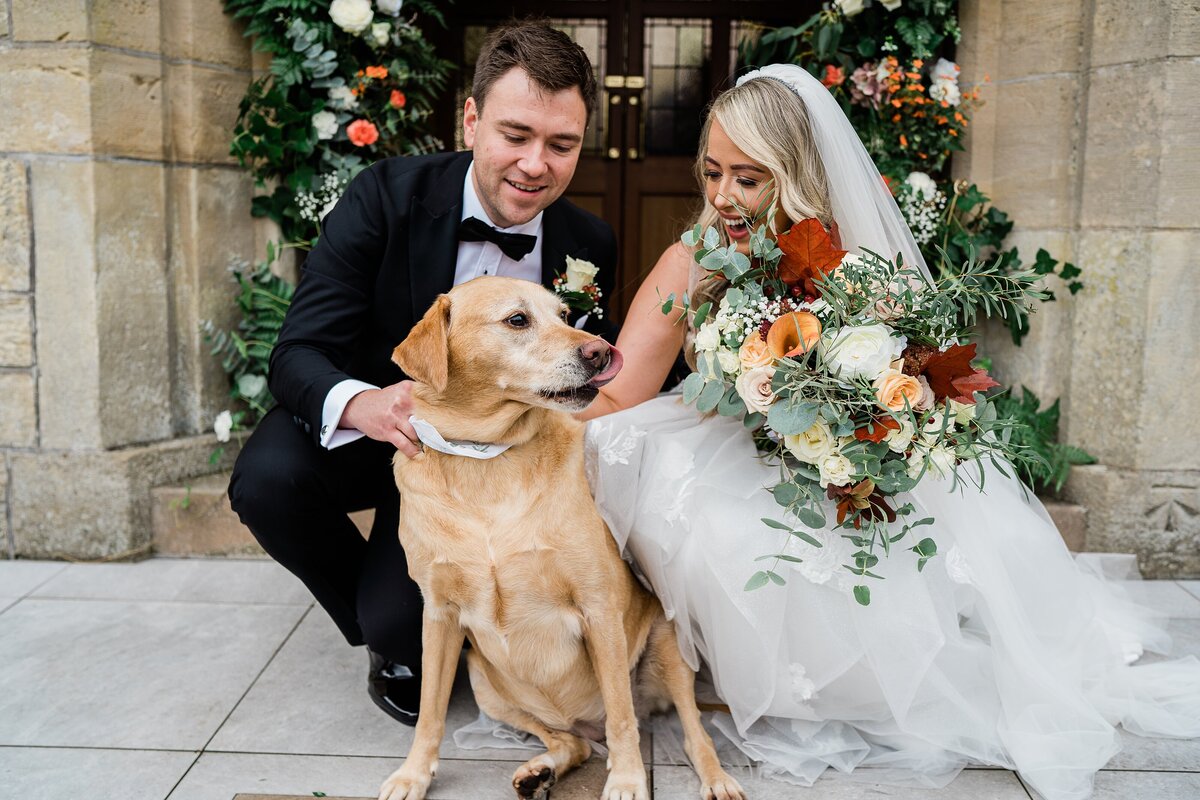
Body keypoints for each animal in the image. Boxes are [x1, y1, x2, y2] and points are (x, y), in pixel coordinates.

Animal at [379, 277, 744, 800]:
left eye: (565, 314)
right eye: (517, 319)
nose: (601, 351)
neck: (488, 459)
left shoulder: (598, 606)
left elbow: (622, 717)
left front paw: (628, 779)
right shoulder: (440, 615)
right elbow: (430, 712)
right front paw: (412, 774)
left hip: (667, 645)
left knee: (688, 734)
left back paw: (716, 779)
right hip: (486, 681)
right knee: (574, 745)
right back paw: (540, 771)